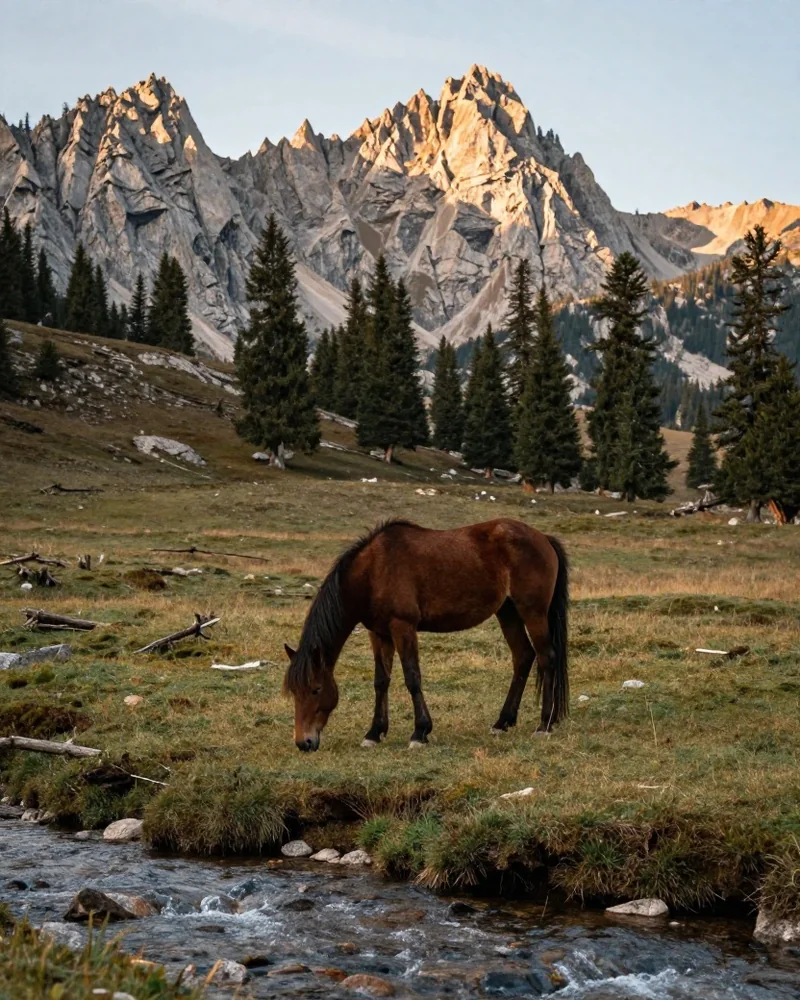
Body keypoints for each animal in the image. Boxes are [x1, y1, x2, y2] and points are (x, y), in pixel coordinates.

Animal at [283, 518, 569, 752]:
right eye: (294, 692)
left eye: (316, 689)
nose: (303, 742)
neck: (373, 572)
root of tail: (543, 538)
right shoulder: (379, 633)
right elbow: (381, 681)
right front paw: (374, 733)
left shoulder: (403, 627)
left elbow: (412, 678)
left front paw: (420, 732)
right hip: (507, 612)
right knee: (523, 656)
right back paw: (503, 722)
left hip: (532, 611)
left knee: (546, 658)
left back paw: (544, 724)